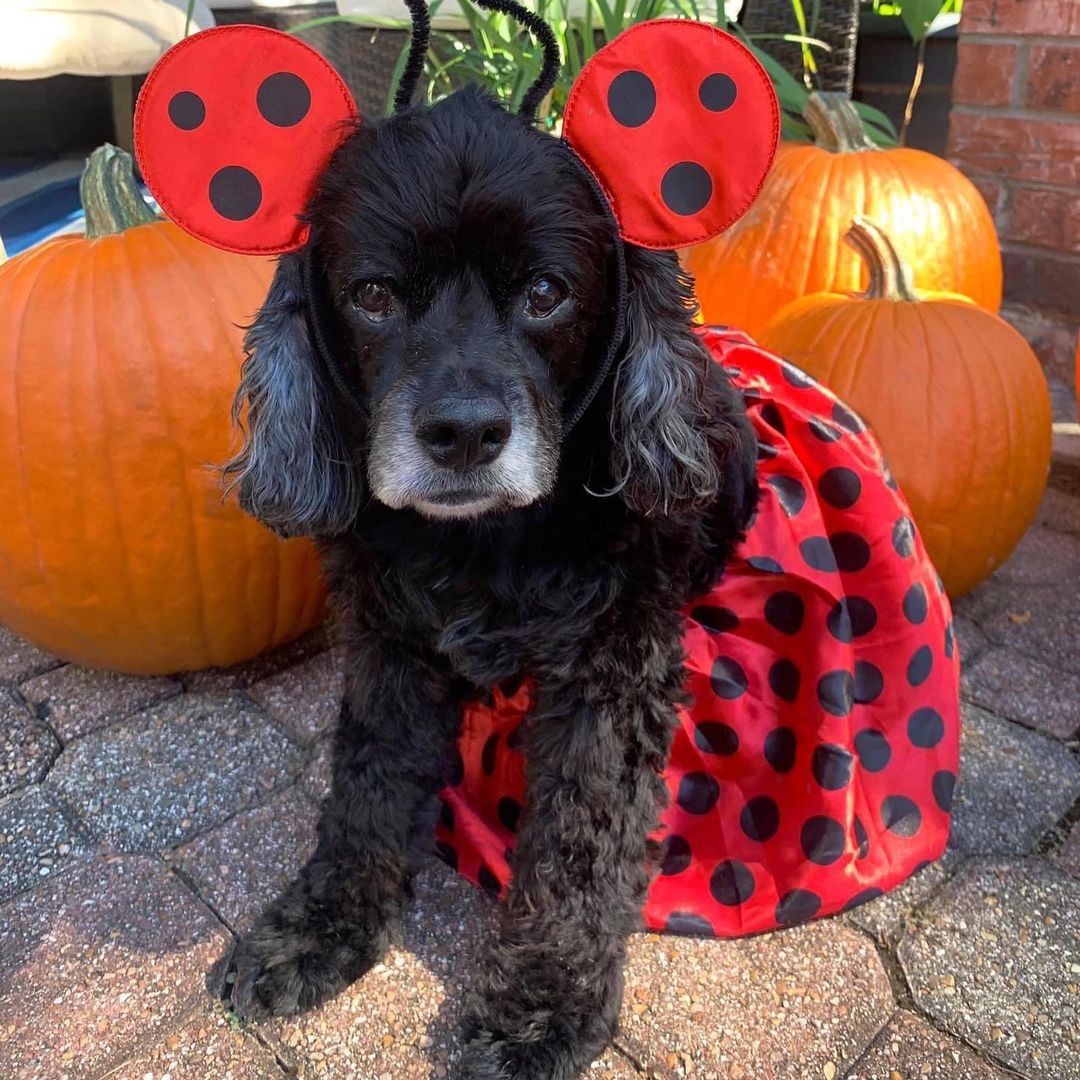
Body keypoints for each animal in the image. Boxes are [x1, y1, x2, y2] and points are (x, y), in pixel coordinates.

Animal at [222, 86, 756, 1080]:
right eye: (374, 294)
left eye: (546, 293)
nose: (464, 433)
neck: (486, 544)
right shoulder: (389, 646)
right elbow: (366, 786)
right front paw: (317, 930)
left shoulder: (611, 675)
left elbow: (581, 845)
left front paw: (541, 1008)